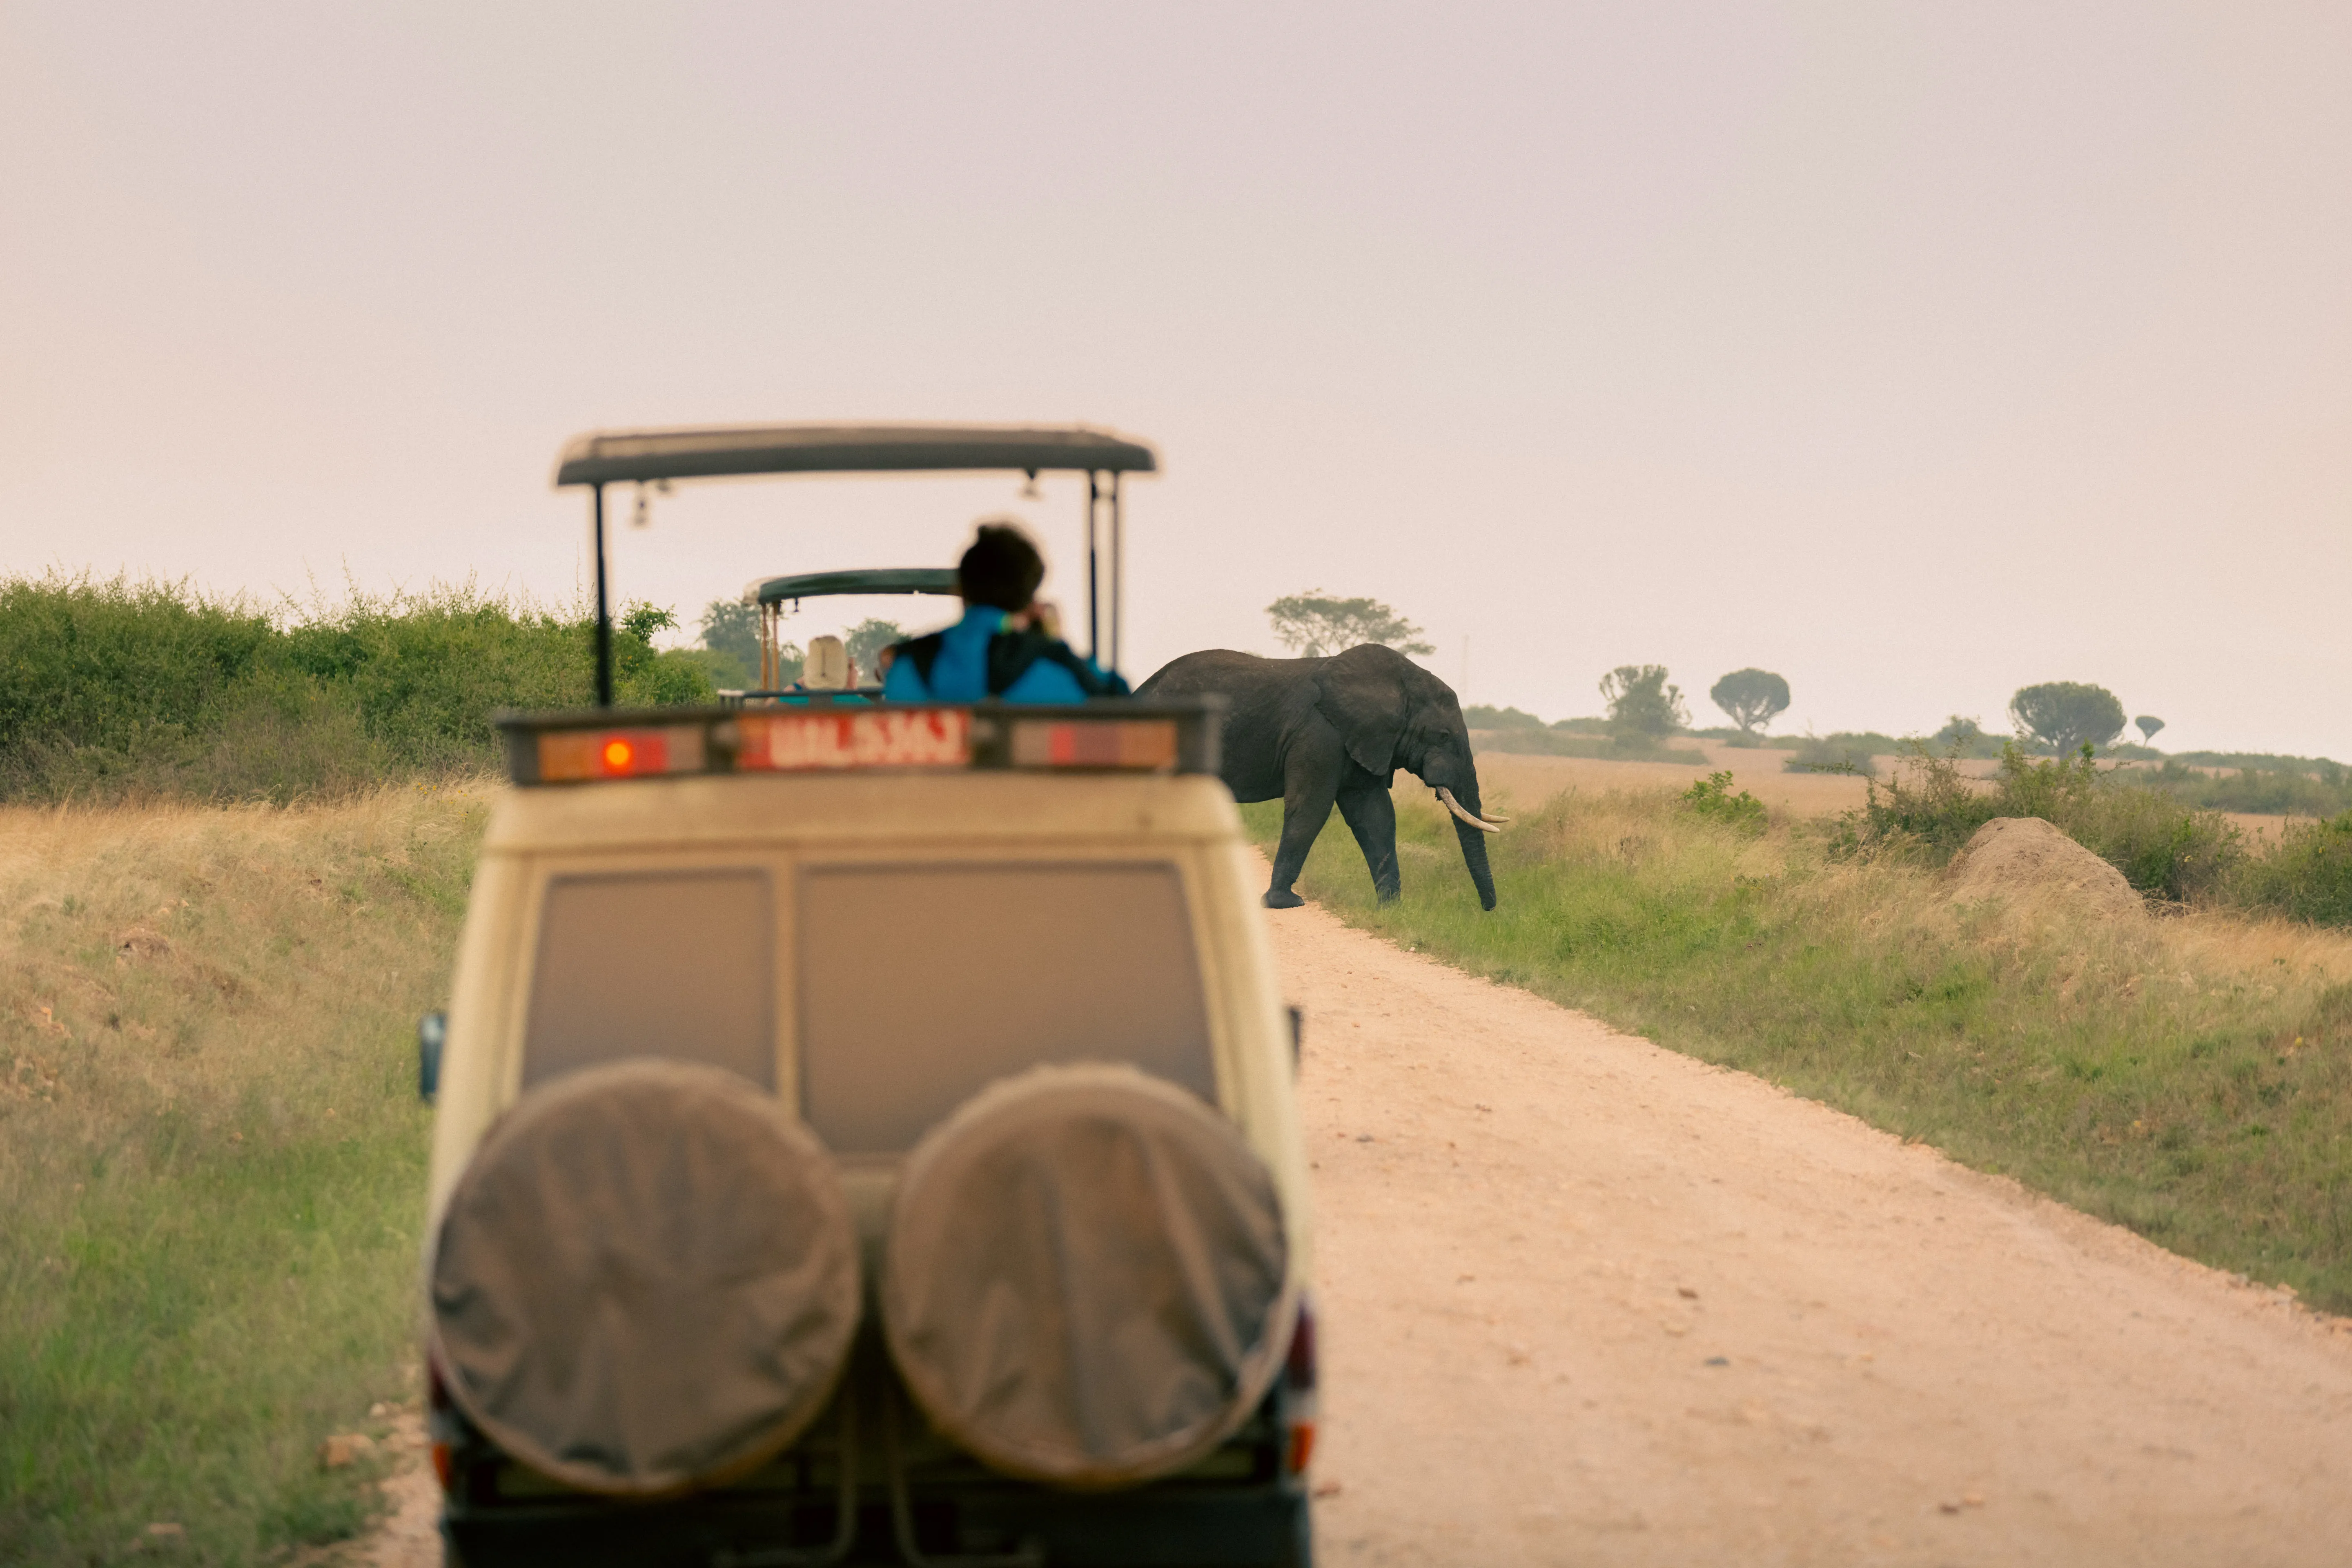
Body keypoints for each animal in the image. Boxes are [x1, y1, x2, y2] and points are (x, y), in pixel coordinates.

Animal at [1138, 644, 1505, 912]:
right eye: (1443, 736)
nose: (1488, 910)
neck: (1397, 684)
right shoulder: (1320, 733)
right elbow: (1311, 808)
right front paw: (1285, 904)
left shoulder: (1364, 743)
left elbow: (1376, 817)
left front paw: (1392, 911)